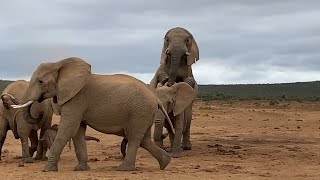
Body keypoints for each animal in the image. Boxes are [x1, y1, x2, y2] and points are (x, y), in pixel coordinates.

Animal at [13, 57, 175, 172]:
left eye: (40, 81)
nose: (39, 113)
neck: (59, 63)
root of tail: (156, 98)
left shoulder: (76, 99)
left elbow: (68, 130)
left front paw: (47, 170)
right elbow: (77, 132)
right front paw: (80, 169)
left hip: (139, 112)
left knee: (135, 138)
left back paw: (123, 169)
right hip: (143, 113)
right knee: (144, 140)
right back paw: (165, 163)